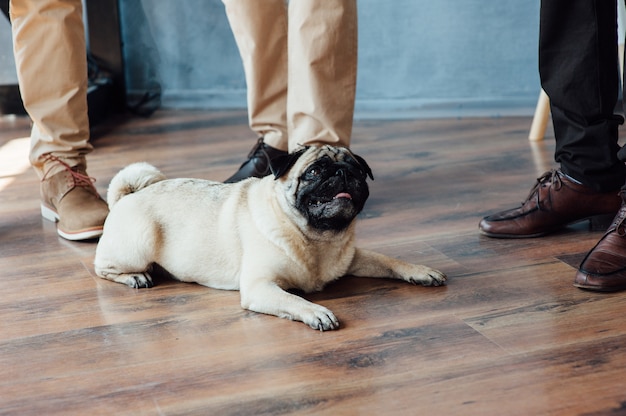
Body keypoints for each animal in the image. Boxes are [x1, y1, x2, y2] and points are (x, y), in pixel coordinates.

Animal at [92, 145, 444, 330]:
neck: (316, 238)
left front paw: (420, 271)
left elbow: (387, 260)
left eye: (357, 171)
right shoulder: (261, 287)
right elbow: (294, 300)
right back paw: (136, 277)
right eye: (315, 171)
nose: (343, 173)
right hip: (138, 244)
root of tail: (128, 196)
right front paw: (316, 311)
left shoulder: (351, 258)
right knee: (103, 268)